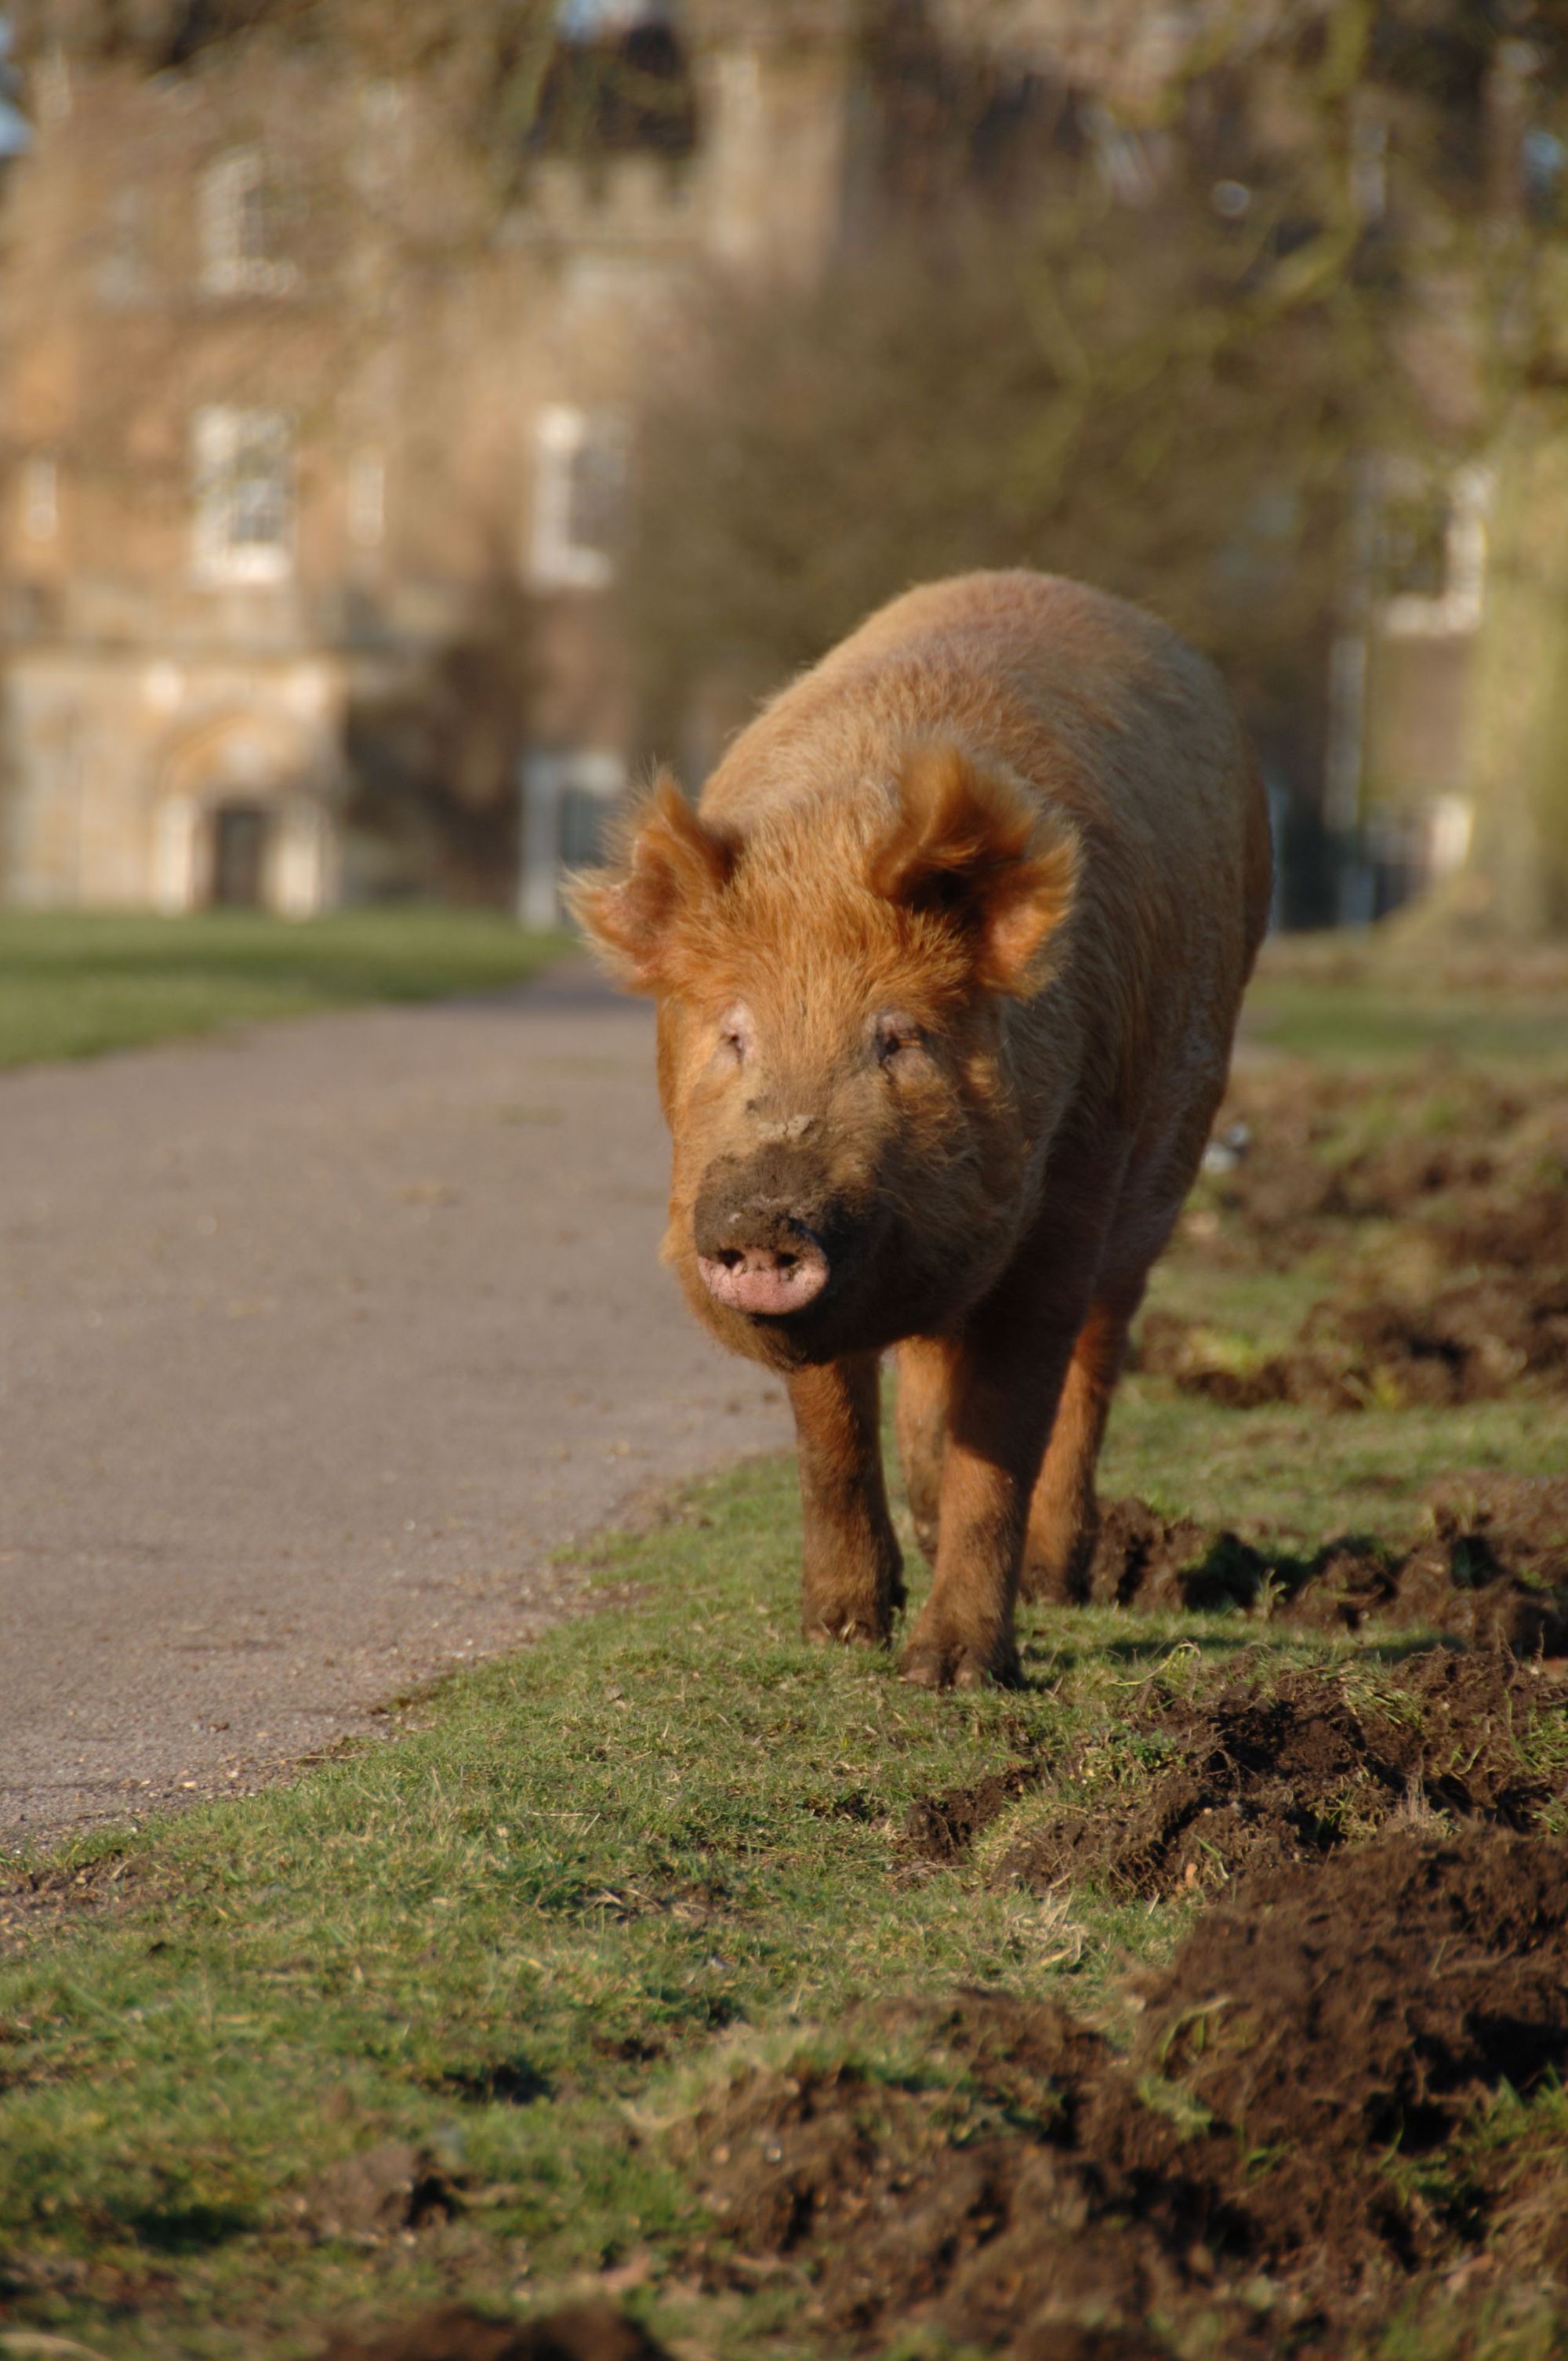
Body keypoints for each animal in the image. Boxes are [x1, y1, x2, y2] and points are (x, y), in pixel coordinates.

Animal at [575, 564, 1275, 1690]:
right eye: (734, 1032)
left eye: (897, 1037)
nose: (767, 1212)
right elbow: (829, 1422)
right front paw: (840, 1627)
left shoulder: (1067, 1189)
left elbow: (1011, 1420)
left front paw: (948, 1674)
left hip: (1164, 1162)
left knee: (1099, 1352)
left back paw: (1058, 1579)